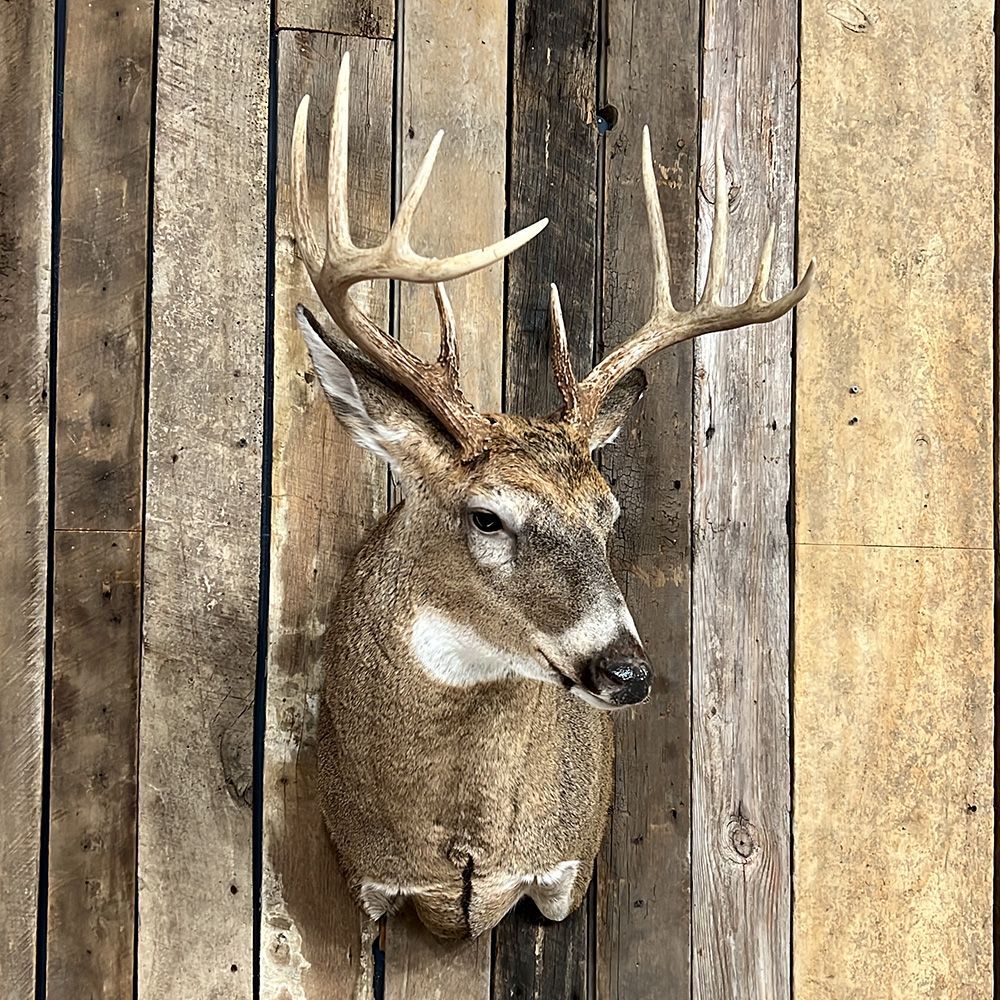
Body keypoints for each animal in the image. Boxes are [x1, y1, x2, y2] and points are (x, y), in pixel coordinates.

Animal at [289, 52, 814, 940]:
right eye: (487, 515)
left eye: (609, 513)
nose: (627, 671)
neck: (463, 851)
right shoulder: (365, 885)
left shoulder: (565, 872)